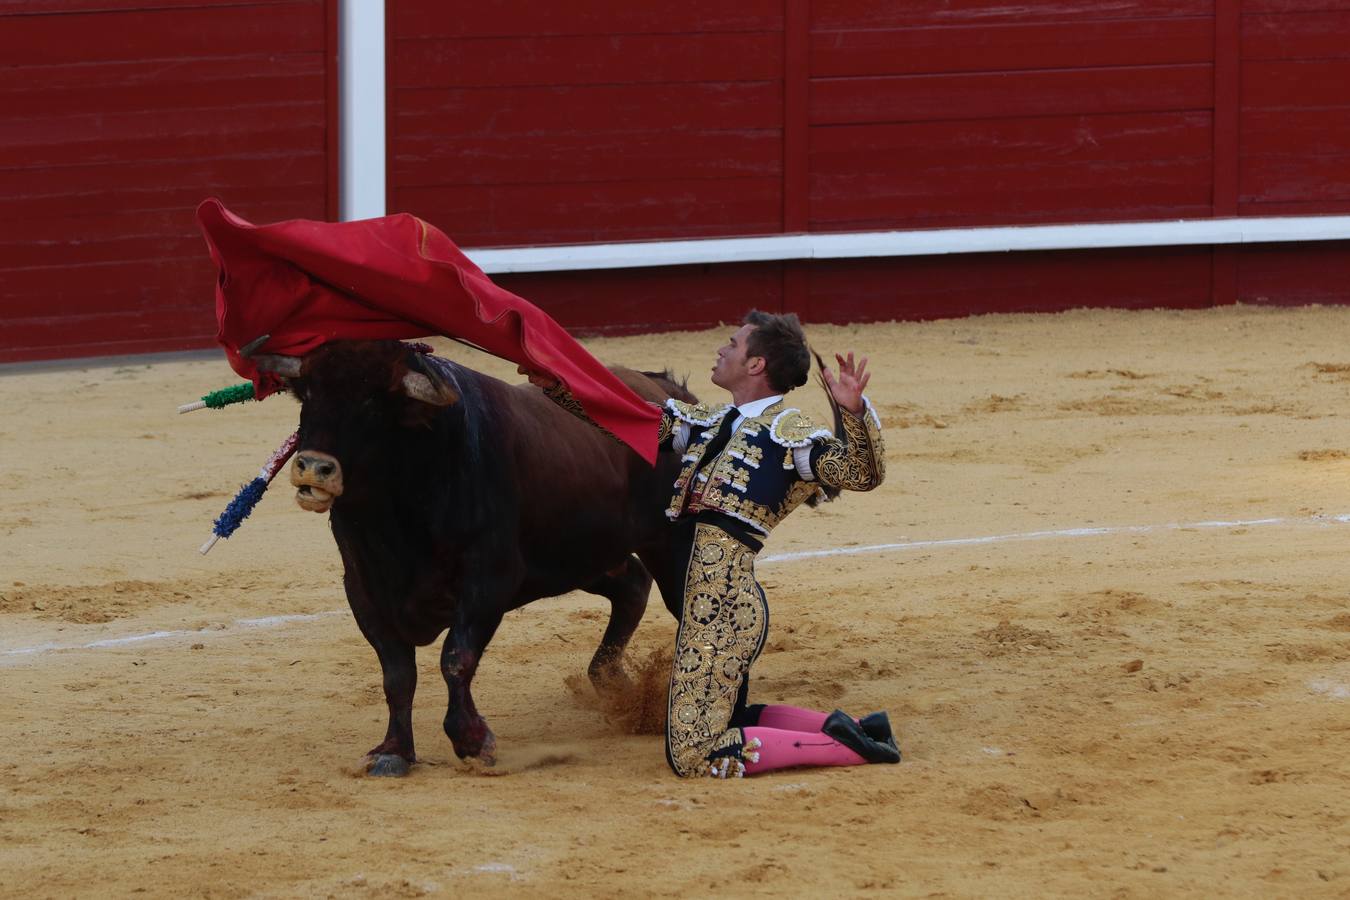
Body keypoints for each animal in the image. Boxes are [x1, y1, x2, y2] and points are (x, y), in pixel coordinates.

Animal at [253, 337, 691, 777]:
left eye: (374, 403)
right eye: (308, 395)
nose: (313, 468)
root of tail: (668, 394)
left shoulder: (490, 578)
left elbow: (455, 658)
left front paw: (473, 742)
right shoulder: (362, 588)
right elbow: (397, 674)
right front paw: (392, 751)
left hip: (669, 543)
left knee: (679, 603)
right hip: (579, 556)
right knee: (632, 585)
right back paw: (611, 682)